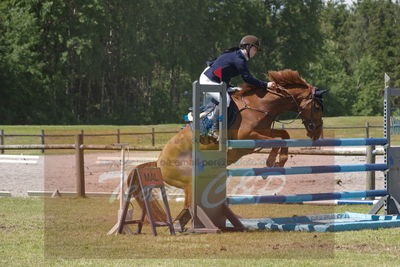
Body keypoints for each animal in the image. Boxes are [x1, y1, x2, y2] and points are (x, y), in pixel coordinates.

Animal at [128, 69, 324, 222]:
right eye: (317, 107)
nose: (316, 133)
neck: (259, 104)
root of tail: (157, 163)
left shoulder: (263, 132)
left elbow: (284, 135)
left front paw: (278, 161)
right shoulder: (247, 137)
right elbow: (278, 140)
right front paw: (271, 163)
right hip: (188, 178)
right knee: (188, 203)